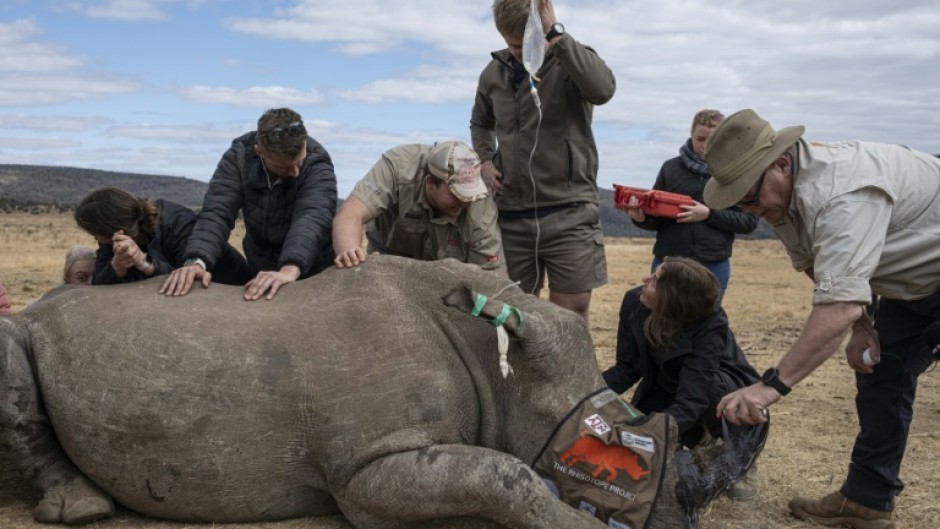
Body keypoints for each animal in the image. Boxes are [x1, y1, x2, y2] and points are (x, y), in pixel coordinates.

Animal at [0, 256, 763, 529]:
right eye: (588, 434)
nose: (677, 520)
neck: (496, 365)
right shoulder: (363, 470)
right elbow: (505, 474)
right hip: (26, 325)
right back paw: (81, 509)